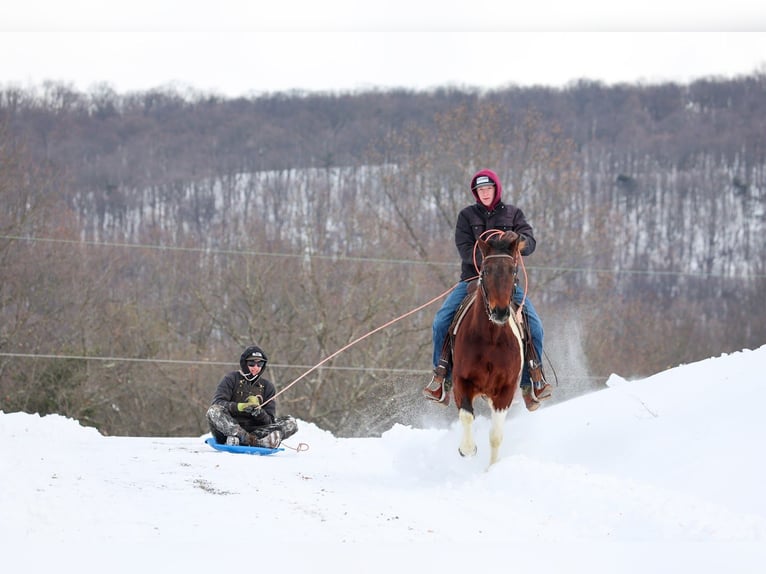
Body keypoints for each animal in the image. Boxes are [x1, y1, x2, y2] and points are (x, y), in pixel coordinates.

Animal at [451, 230, 526, 467]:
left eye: (513, 270)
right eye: (485, 270)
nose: (500, 312)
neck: (491, 339)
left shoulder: (505, 390)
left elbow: (495, 436)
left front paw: (492, 469)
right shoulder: (461, 380)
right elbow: (466, 415)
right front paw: (467, 449)